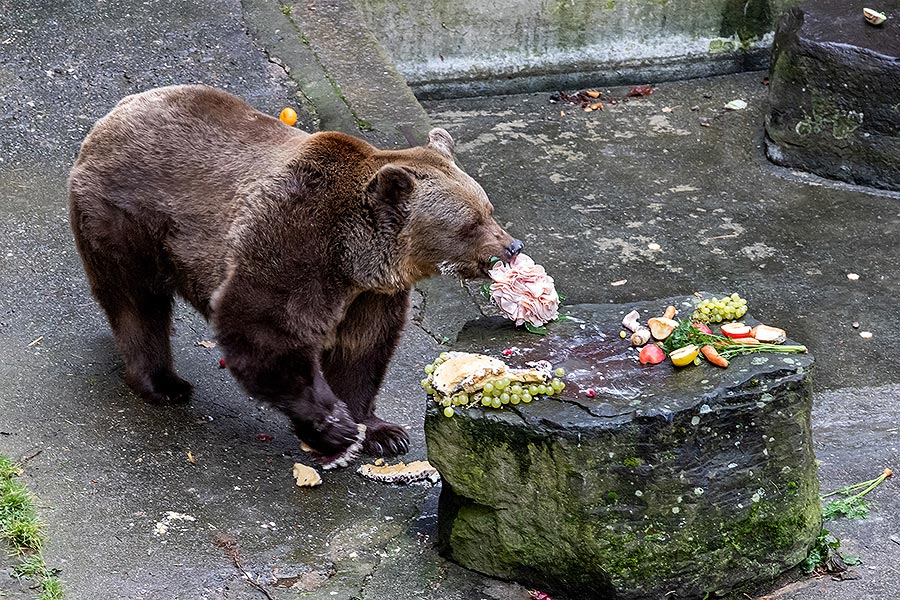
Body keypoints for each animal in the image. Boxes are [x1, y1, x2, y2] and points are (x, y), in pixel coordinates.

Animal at [68, 84, 520, 468]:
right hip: (128, 221)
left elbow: (361, 351)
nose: (511, 247)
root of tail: (109, 118)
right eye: (470, 224)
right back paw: (164, 383)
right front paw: (335, 427)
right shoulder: (295, 243)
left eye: (489, 210)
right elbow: (264, 329)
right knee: (137, 302)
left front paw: (382, 432)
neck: (356, 258)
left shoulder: (371, 295)